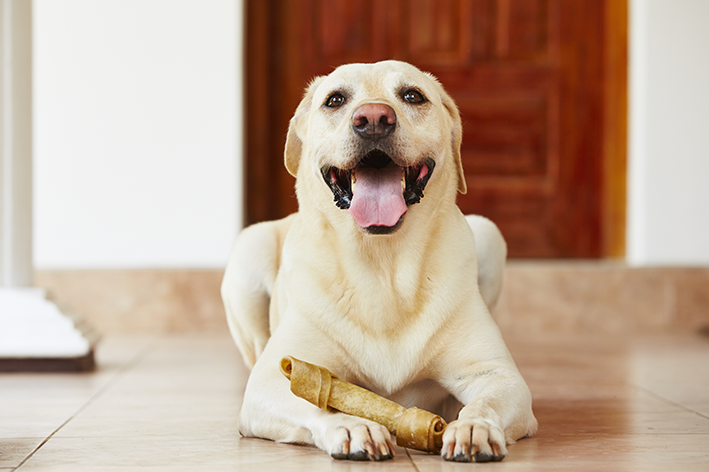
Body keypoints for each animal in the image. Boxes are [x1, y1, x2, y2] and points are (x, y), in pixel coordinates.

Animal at [223, 60, 536, 462]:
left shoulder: (496, 375)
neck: (383, 265)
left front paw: (473, 427)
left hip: (489, 234)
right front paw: (354, 426)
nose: (373, 118)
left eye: (413, 96)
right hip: (250, 248)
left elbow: (487, 403)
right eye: (335, 100)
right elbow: (319, 399)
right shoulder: (272, 380)